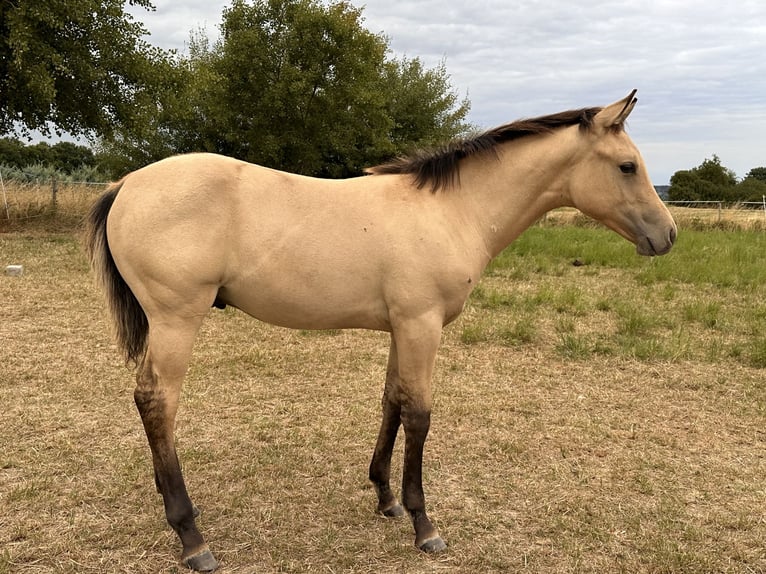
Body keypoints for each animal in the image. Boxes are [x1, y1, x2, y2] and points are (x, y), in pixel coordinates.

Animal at [85, 90, 676, 571]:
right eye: (627, 166)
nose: (667, 235)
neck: (452, 210)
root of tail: (127, 185)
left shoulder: (403, 327)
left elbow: (391, 400)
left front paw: (386, 499)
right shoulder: (422, 326)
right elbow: (419, 415)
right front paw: (424, 525)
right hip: (176, 321)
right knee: (157, 402)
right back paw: (192, 537)